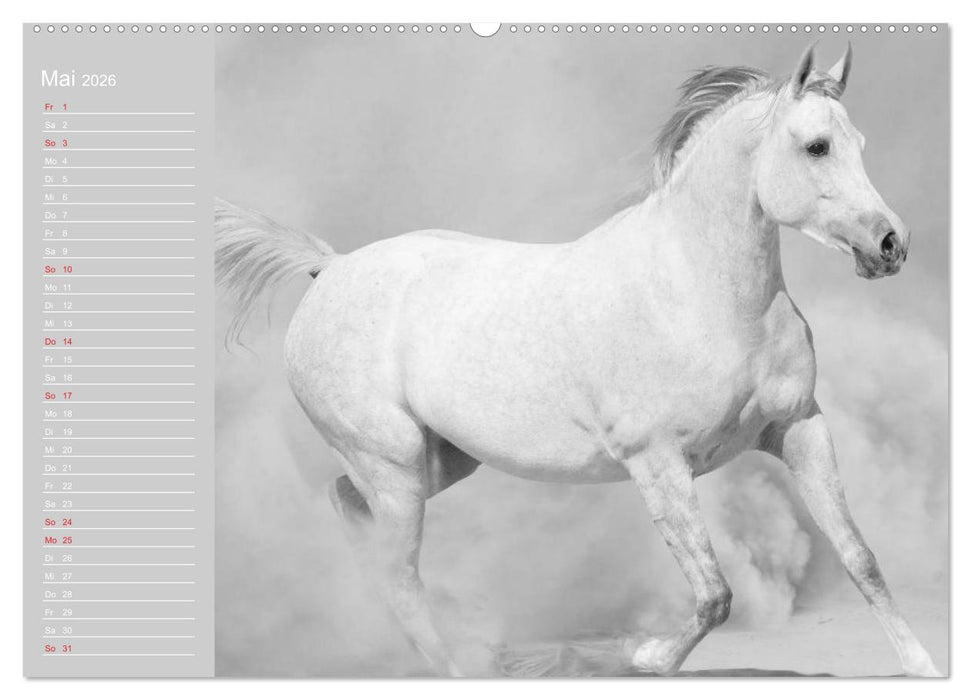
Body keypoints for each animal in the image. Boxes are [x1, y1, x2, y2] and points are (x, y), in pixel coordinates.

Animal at [214, 45, 941, 677]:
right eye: (815, 146)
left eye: (859, 145)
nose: (890, 245)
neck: (701, 294)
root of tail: (330, 268)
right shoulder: (657, 462)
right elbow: (714, 595)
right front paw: (640, 657)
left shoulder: (799, 428)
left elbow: (861, 559)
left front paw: (923, 668)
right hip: (392, 468)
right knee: (397, 575)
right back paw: (458, 666)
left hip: (438, 462)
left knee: (348, 508)